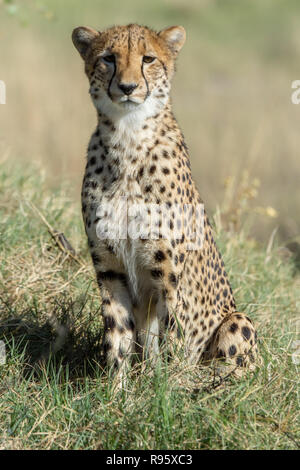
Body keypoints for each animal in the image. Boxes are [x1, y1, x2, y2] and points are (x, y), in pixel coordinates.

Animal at [71, 21, 256, 382]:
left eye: (148, 59)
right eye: (108, 58)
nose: (127, 87)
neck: (127, 138)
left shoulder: (169, 276)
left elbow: (175, 337)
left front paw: (168, 391)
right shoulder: (110, 269)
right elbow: (118, 335)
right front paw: (117, 391)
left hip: (239, 321)